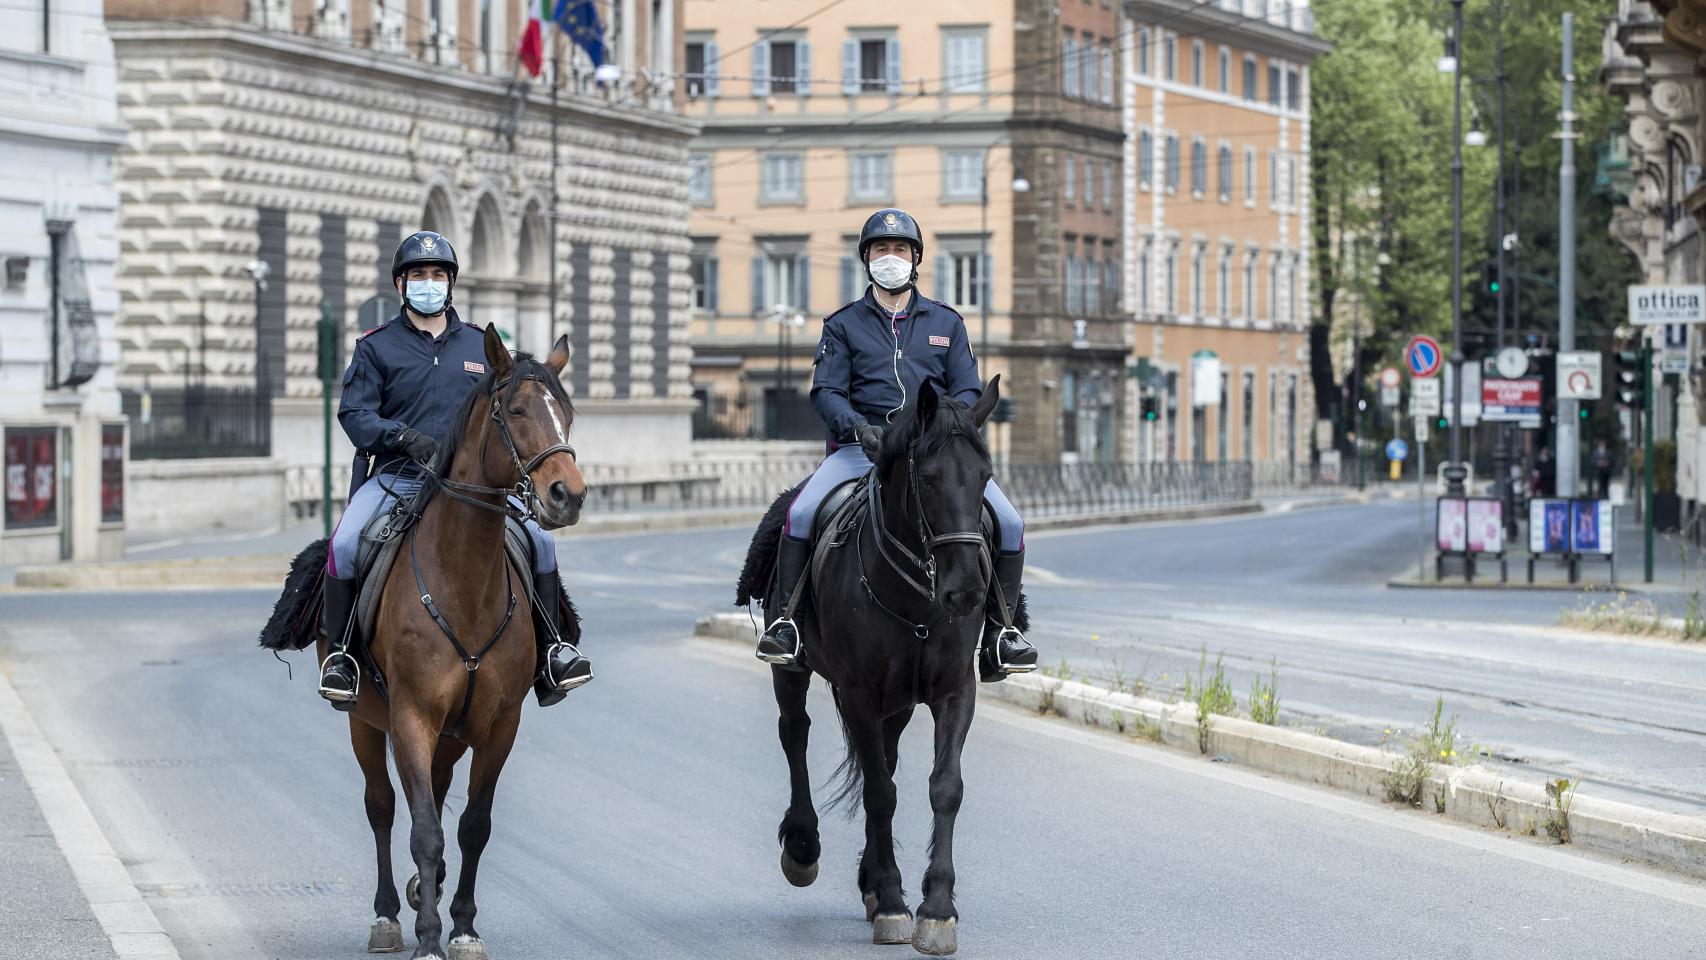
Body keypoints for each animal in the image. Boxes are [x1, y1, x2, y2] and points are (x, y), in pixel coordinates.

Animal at [330, 327, 586, 954]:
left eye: (567, 414)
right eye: (516, 411)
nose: (567, 494)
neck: (463, 581)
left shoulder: (500, 725)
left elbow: (473, 826)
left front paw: (463, 926)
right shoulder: (411, 717)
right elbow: (423, 827)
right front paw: (427, 937)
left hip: (451, 733)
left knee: (439, 793)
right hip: (366, 722)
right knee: (382, 806)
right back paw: (388, 914)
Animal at [736, 380, 1023, 954]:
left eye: (985, 476)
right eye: (929, 479)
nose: (967, 591)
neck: (918, 600)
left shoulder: (954, 691)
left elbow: (943, 786)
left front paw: (935, 908)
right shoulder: (859, 694)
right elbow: (878, 792)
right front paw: (893, 899)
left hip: (899, 703)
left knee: (883, 759)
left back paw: (869, 880)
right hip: (795, 672)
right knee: (795, 734)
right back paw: (804, 846)